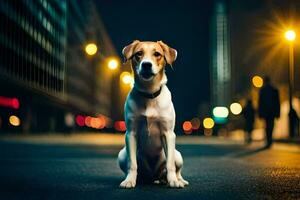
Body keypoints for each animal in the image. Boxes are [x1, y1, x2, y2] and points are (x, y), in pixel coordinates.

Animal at [117, 40, 188, 188]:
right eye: (138, 53)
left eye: (157, 54)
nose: (146, 64)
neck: (149, 94)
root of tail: (152, 177)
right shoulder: (130, 134)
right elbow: (132, 164)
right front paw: (129, 180)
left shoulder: (168, 134)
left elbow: (170, 164)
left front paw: (173, 181)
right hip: (121, 155)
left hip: (178, 155)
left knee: (175, 168)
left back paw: (177, 180)